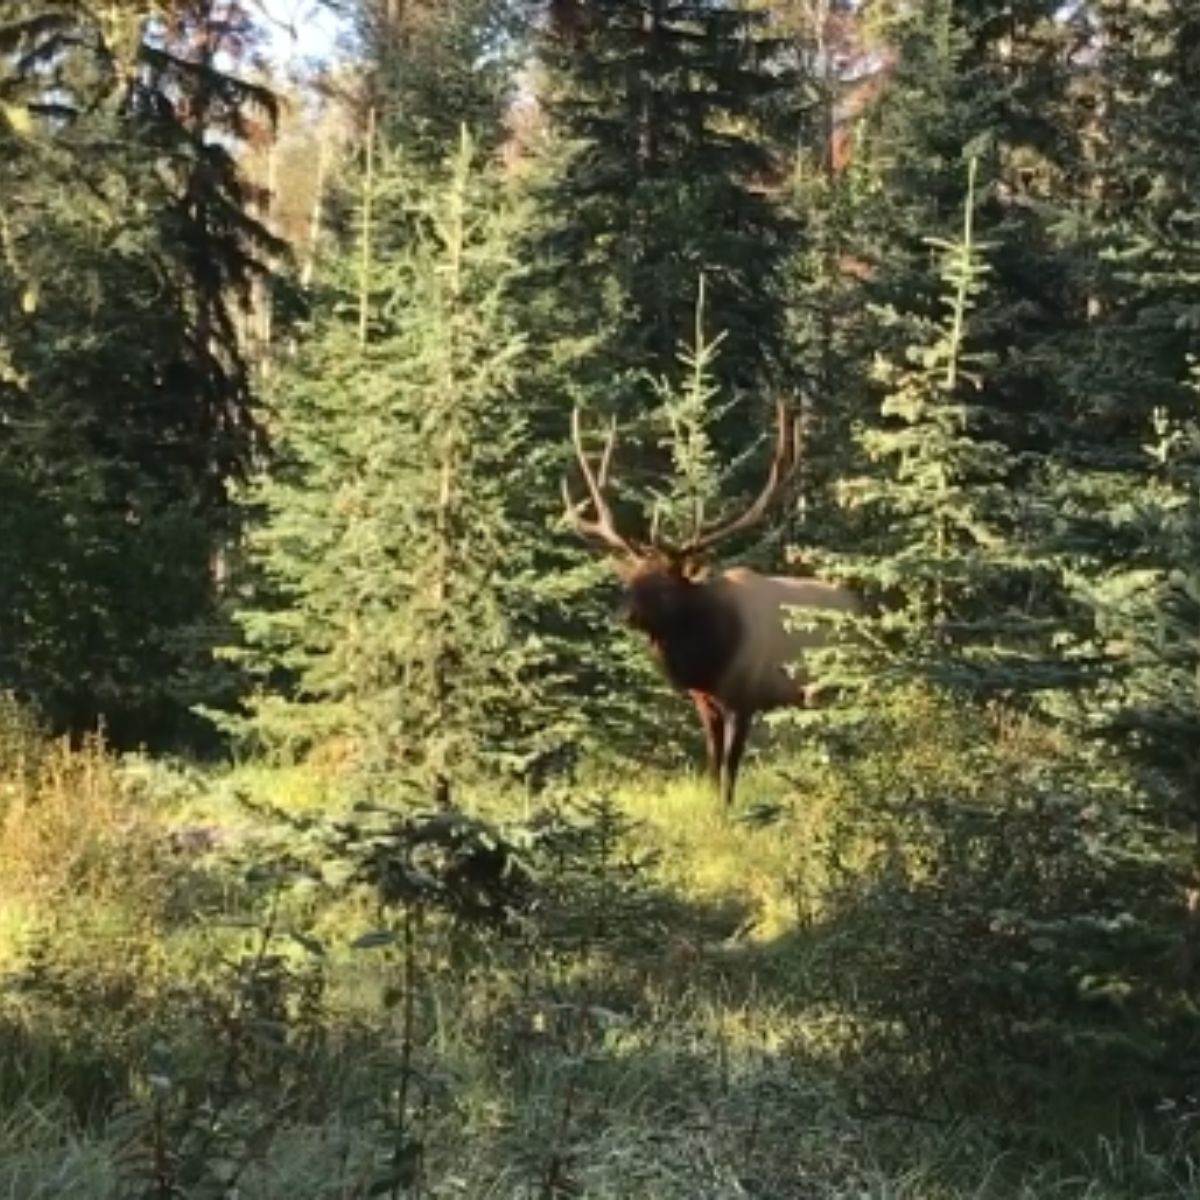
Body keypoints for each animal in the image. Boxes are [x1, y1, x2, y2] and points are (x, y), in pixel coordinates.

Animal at [564, 400, 864, 806]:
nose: (624, 615)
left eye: (664, 586)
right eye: (630, 582)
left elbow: (730, 771)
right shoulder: (705, 703)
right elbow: (711, 764)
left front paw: (725, 812)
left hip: (842, 686)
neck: (710, 659)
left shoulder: (745, 698)